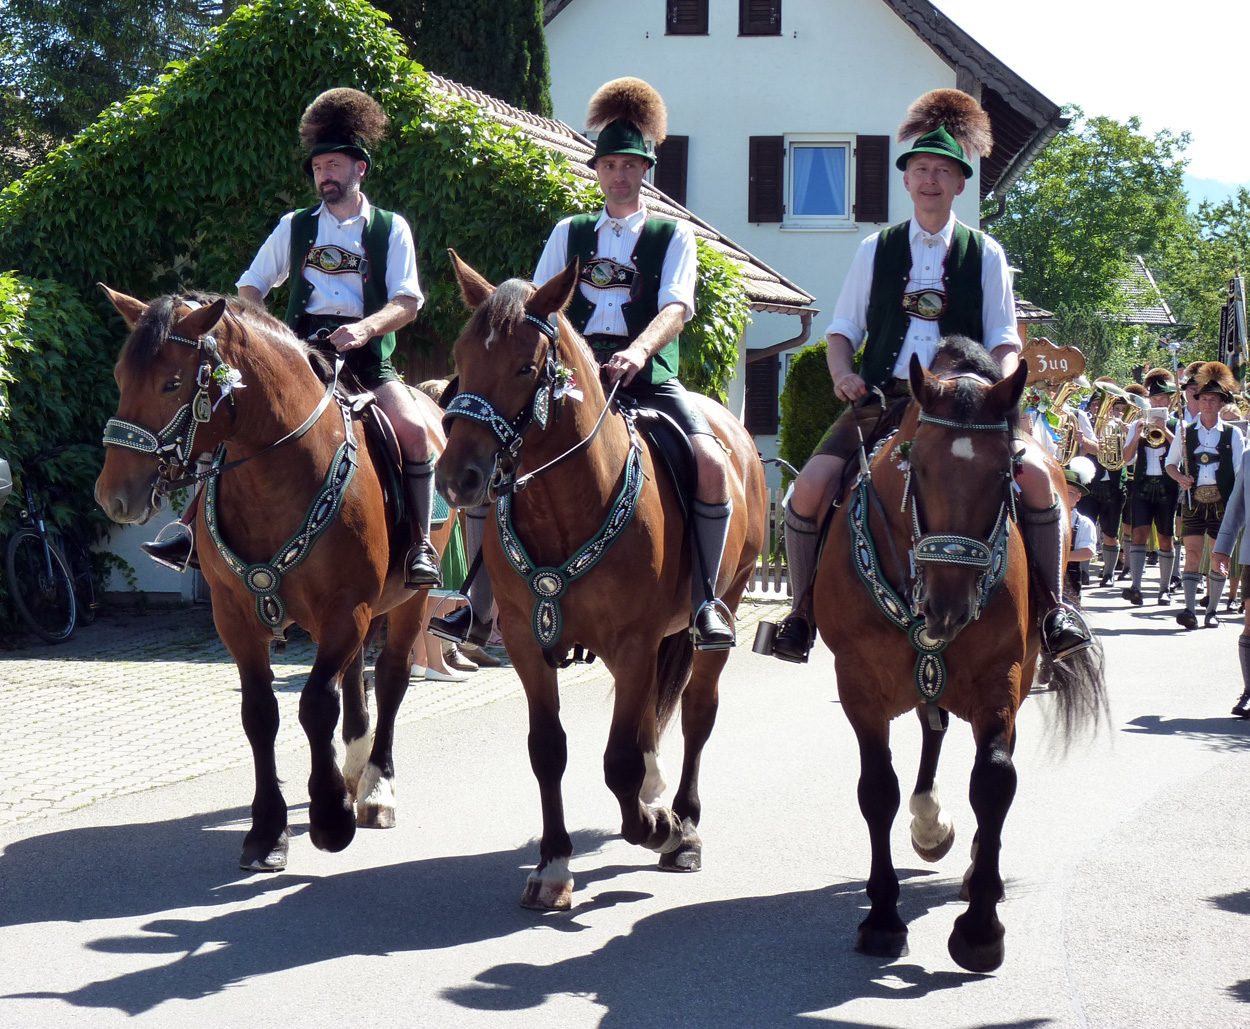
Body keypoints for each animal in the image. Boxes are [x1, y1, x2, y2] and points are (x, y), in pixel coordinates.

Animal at [95, 290, 452, 870]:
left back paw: (376, 787)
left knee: (391, 677)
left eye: (172, 383)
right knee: (358, 676)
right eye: (121, 377)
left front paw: (330, 818)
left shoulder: (345, 608)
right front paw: (267, 831)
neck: (278, 476)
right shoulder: (234, 615)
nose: (113, 495)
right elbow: (260, 714)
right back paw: (354, 765)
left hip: (408, 601)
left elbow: (316, 704)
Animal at [440, 251, 770, 910]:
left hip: (716, 611)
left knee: (695, 715)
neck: (569, 506)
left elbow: (618, 761)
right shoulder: (526, 643)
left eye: (525, 366)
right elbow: (549, 750)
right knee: (647, 727)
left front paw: (660, 828)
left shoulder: (634, 644)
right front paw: (553, 865)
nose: (457, 477)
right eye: (461, 357)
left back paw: (684, 825)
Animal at [820, 345, 1105, 975]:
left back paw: (971, 865)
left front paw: (979, 928)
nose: (948, 607)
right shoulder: (857, 684)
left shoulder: (1002, 677)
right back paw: (929, 824)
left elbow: (994, 781)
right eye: (917, 467)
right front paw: (882, 919)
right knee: (933, 729)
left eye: (1004, 474)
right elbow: (877, 789)